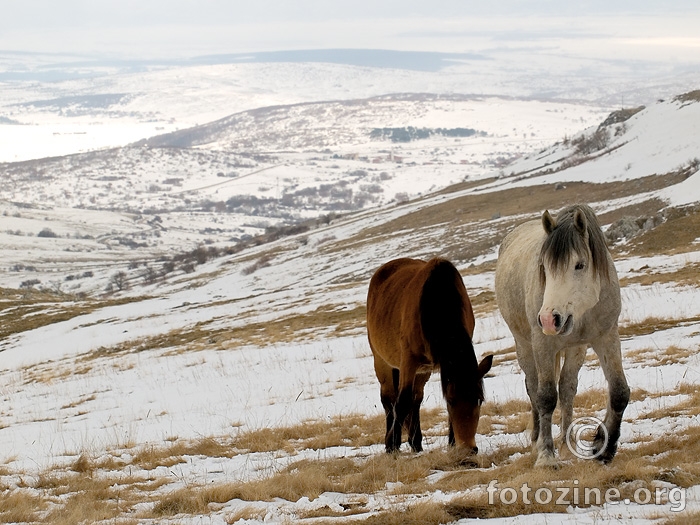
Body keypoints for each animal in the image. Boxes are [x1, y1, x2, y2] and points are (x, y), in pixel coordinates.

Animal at [366, 258, 492, 454]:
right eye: (451, 401)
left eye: (479, 400)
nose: (468, 449)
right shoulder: (408, 362)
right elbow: (401, 402)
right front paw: (392, 444)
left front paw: (452, 443)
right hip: (382, 362)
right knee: (389, 399)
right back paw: (393, 443)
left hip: (422, 370)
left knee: (416, 399)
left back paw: (416, 442)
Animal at [494, 203, 632, 464]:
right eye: (544, 267)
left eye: (579, 265)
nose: (550, 319)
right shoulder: (543, 345)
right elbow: (546, 397)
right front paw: (546, 456)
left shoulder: (606, 337)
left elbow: (619, 391)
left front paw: (604, 448)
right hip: (524, 346)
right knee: (533, 388)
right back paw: (536, 440)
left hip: (575, 348)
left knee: (568, 388)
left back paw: (567, 446)